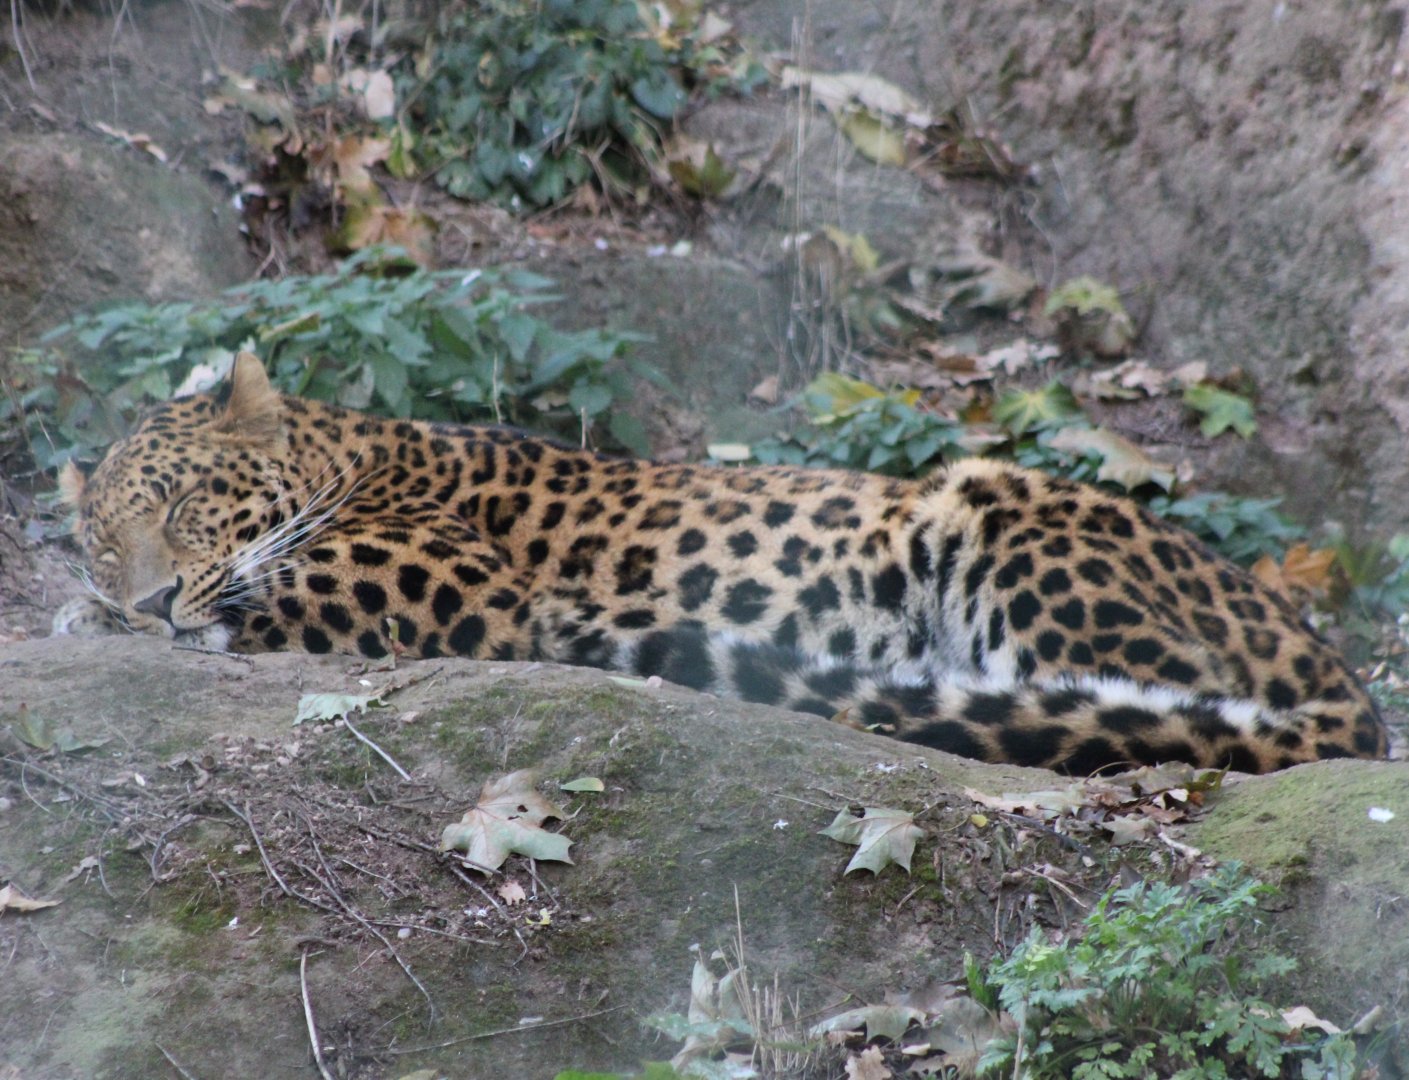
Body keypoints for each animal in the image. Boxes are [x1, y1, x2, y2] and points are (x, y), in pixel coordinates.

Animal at [54, 351, 1389, 774]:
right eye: (100, 541)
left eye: (185, 502)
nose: (145, 595)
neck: (350, 451)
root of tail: (1335, 672)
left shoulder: (463, 583)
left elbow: (275, 593)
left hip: (992, 505)